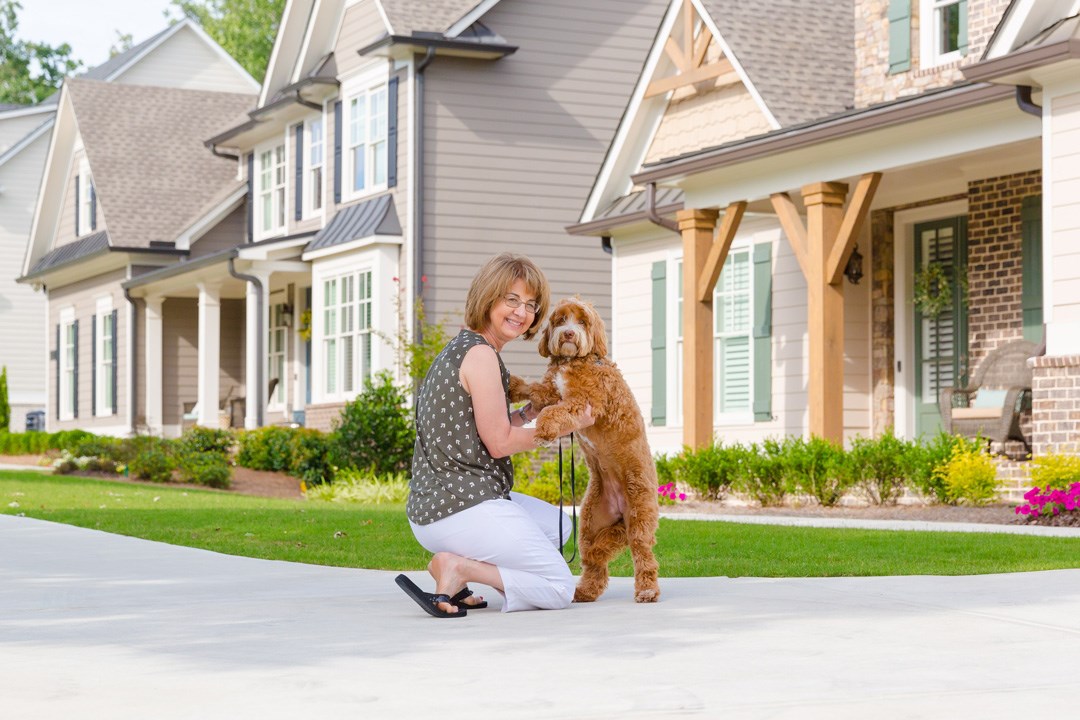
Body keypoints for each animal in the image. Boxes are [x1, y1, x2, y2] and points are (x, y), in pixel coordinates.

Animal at [511, 297, 660, 604]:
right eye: (560, 319)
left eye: (582, 322)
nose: (568, 334)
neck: (573, 361)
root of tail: (621, 512)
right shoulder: (551, 391)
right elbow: (533, 389)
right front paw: (510, 385)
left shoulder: (583, 402)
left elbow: (554, 411)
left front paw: (543, 432)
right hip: (592, 522)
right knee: (594, 560)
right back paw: (585, 591)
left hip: (639, 514)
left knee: (643, 553)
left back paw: (647, 590)